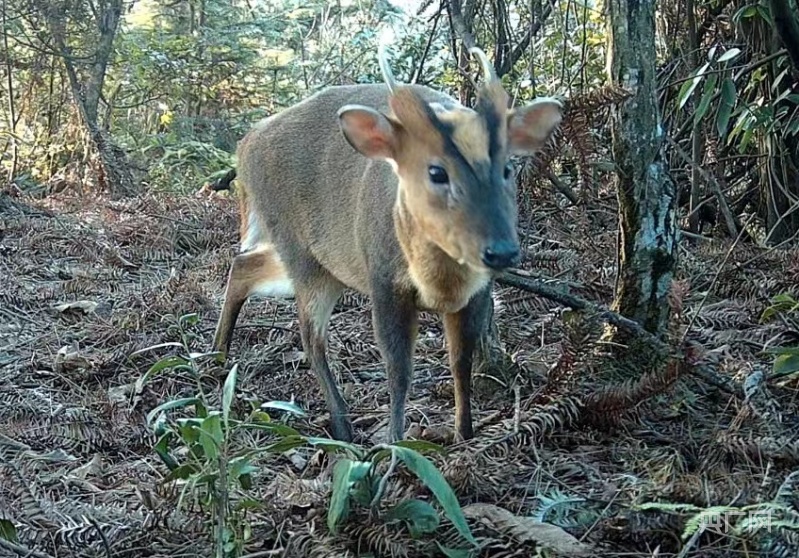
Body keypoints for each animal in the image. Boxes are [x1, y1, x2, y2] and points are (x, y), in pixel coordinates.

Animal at [212, 43, 564, 444]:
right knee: (310, 338)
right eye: (436, 172)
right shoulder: (384, 280)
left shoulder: (477, 290)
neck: (441, 283)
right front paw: (396, 442)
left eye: (507, 168)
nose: (501, 250)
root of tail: (245, 145)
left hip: (325, 262)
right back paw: (342, 426)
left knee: (244, 263)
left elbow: (460, 362)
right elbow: (398, 370)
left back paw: (217, 356)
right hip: (298, 248)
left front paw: (465, 434)